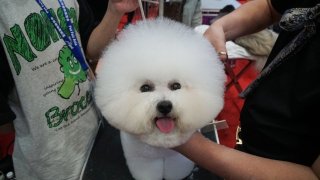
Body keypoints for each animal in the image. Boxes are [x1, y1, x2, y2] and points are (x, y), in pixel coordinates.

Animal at [94, 17, 225, 180]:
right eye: (145, 88)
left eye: (176, 86)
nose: (164, 106)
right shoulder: (142, 159)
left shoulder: (178, 158)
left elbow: (177, 169)